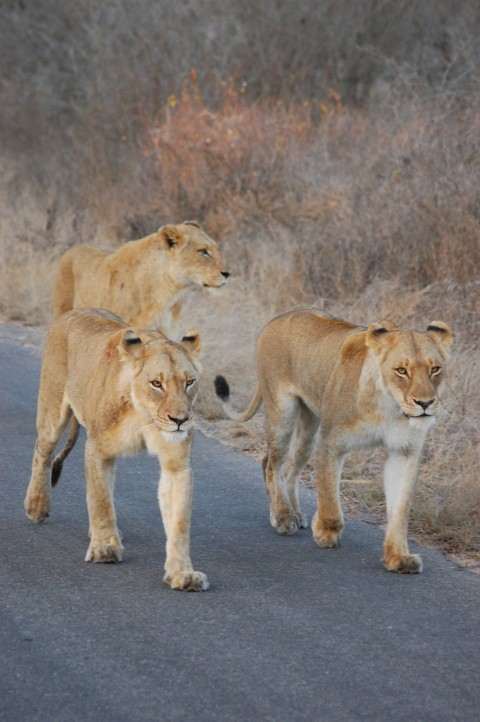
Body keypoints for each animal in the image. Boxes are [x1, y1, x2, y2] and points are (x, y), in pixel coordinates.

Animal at [24, 308, 208, 591]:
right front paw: (104, 549)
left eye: (189, 382)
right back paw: (37, 504)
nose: (179, 420)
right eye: (156, 384)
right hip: (52, 411)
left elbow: (179, 522)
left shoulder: (176, 464)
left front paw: (182, 573)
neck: (144, 415)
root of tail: (75, 311)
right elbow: (100, 501)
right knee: (42, 450)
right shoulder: (97, 449)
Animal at [53, 221, 230, 338]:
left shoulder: (168, 332)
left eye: (217, 249)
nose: (227, 273)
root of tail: (74, 248)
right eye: (203, 251)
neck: (169, 292)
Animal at [214, 309, 453, 574]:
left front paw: (398, 557)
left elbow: (400, 510)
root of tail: (277, 318)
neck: (389, 406)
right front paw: (326, 532)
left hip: (308, 427)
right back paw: (283, 516)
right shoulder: (331, 442)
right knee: (271, 465)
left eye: (435, 369)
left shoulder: (404, 452)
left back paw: (295, 514)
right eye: (401, 370)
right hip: (281, 414)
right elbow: (328, 495)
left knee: (288, 468)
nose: (425, 403)